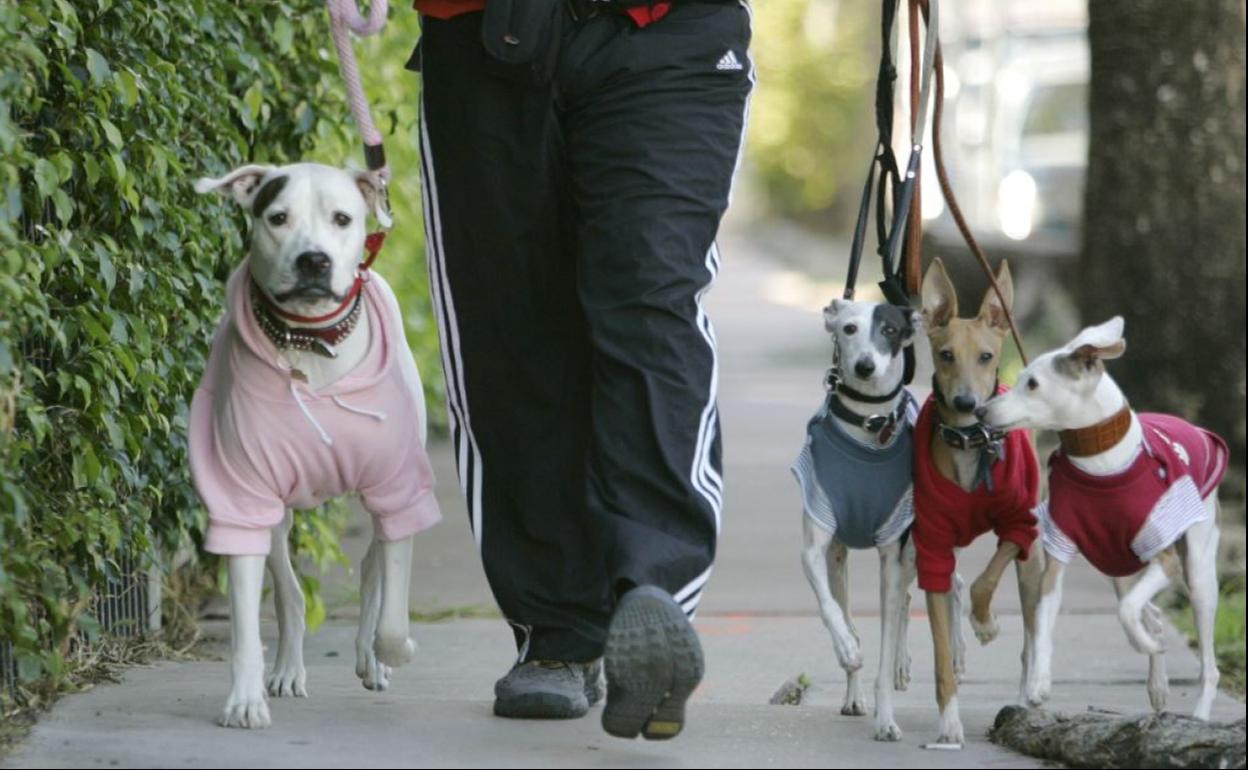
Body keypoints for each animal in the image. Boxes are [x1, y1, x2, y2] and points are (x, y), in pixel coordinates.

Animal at [184, 162, 439, 728]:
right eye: (278, 218)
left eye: (342, 219)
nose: (314, 260)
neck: (312, 345)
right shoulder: (243, 498)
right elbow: (246, 625)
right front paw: (245, 700)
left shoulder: (400, 488)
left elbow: (392, 615)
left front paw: (393, 652)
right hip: (280, 516)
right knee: (291, 594)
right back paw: (287, 670)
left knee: (372, 571)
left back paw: (371, 657)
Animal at [793, 298, 933, 738]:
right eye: (849, 328)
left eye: (889, 330)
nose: (866, 366)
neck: (867, 428)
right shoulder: (818, 545)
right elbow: (833, 610)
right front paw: (848, 650)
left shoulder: (891, 553)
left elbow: (887, 641)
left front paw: (886, 720)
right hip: (842, 558)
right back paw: (855, 691)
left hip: (915, 544)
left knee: (907, 598)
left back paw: (904, 666)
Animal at [973, 315, 1228, 718]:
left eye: (1032, 383)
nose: (981, 411)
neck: (1100, 462)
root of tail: (1195, 429)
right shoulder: (1057, 551)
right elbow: (1043, 623)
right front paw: (1038, 685)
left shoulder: (1166, 560)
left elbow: (1126, 611)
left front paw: (1143, 644)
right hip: (1116, 563)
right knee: (1152, 614)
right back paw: (1158, 684)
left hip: (1199, 569)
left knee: (1206, 660)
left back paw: (1199, 713)